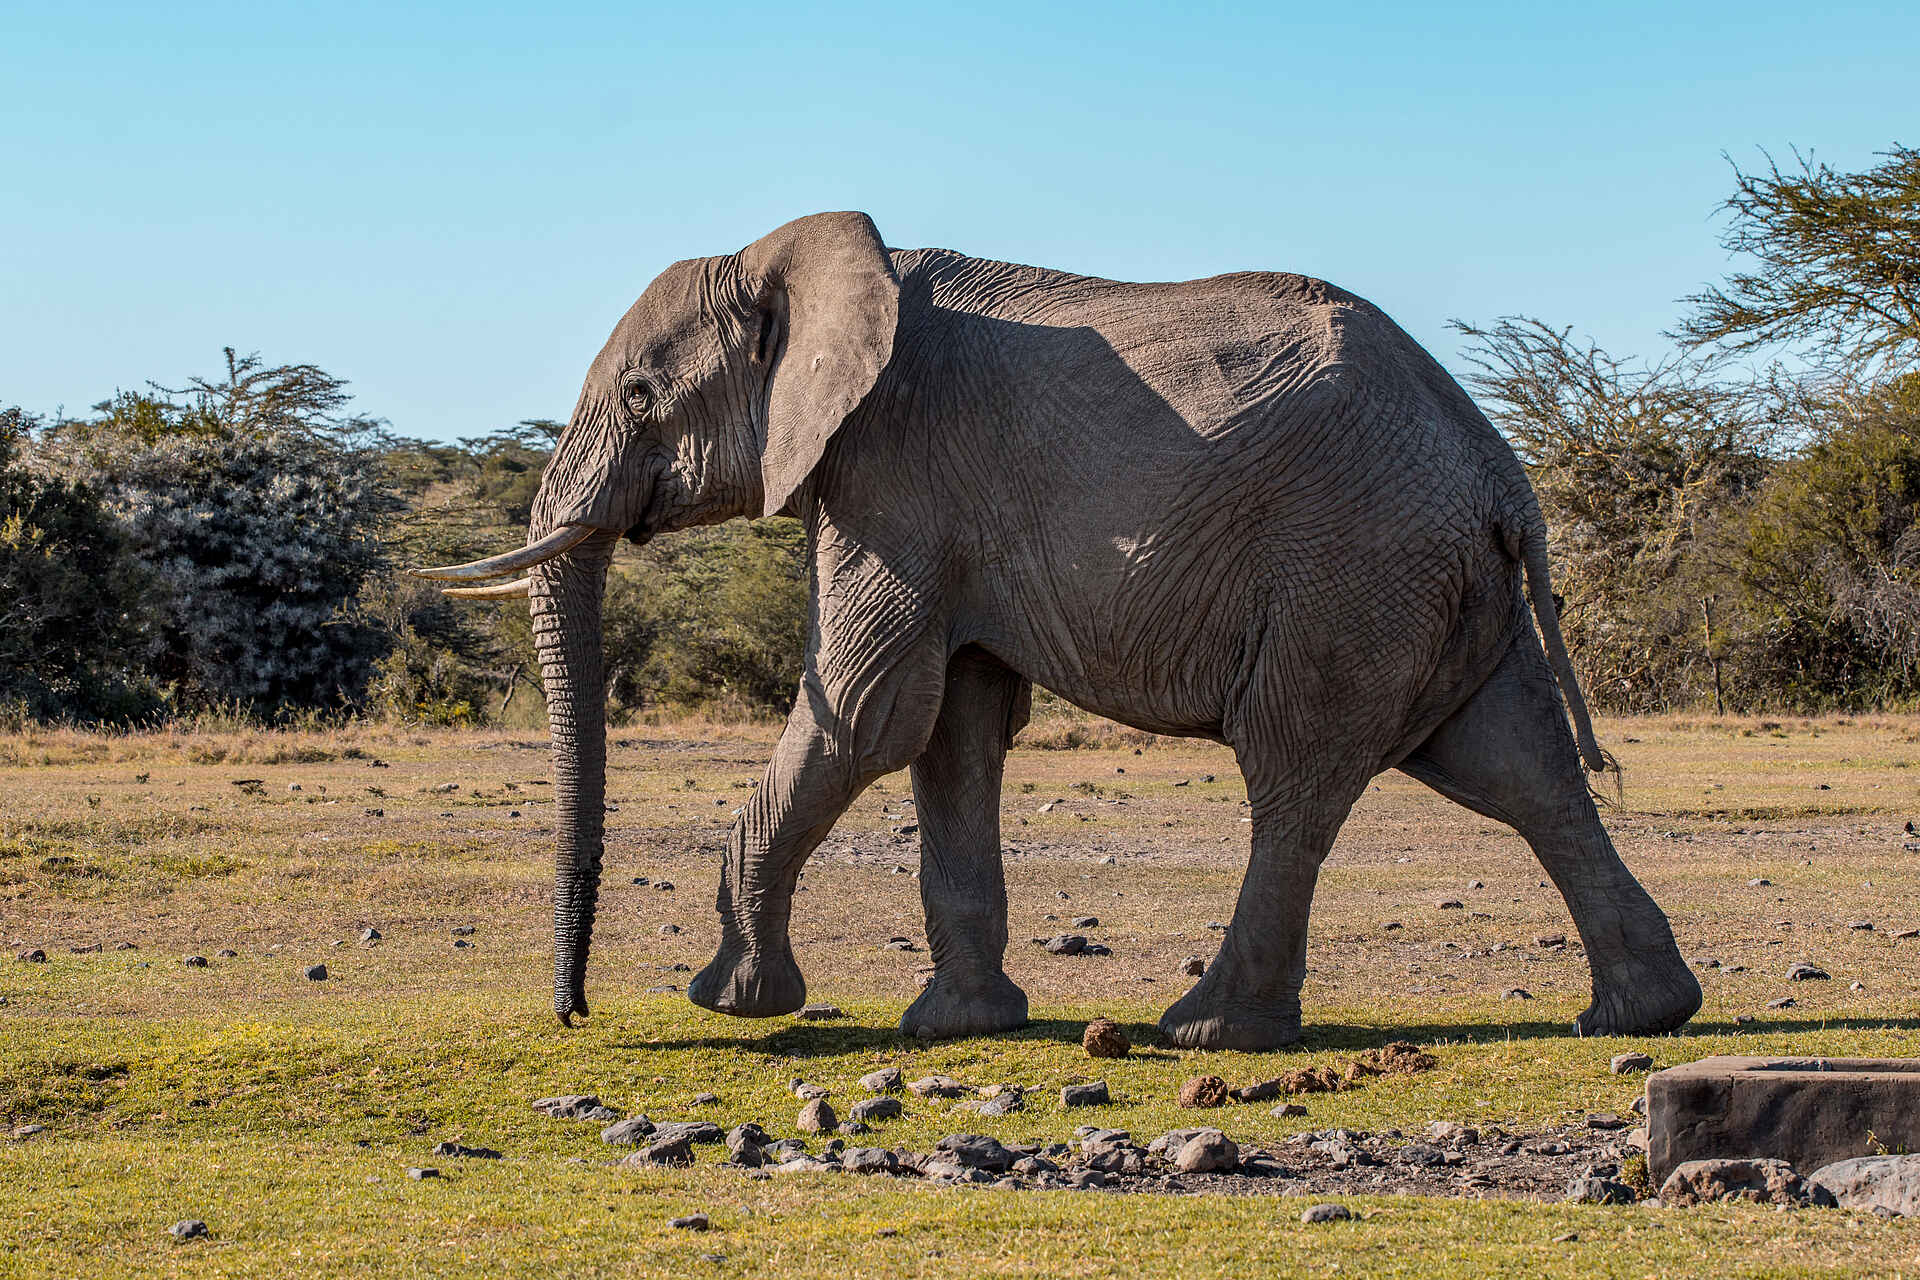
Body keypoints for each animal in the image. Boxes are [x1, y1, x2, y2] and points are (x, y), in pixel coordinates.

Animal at [413, 210, 1702, 1050]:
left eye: (642, 399)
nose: (574, 1009)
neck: (812, 251)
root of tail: (1503, 472)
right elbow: (954, 727)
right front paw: (959, 1023)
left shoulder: (896, 468)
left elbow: (868, 710)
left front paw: (726, 999)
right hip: (1441, 583)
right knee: (1520, 768)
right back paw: (1640, 1012)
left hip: (1351, 571)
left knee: (1296, 775)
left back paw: (1207, 1030)